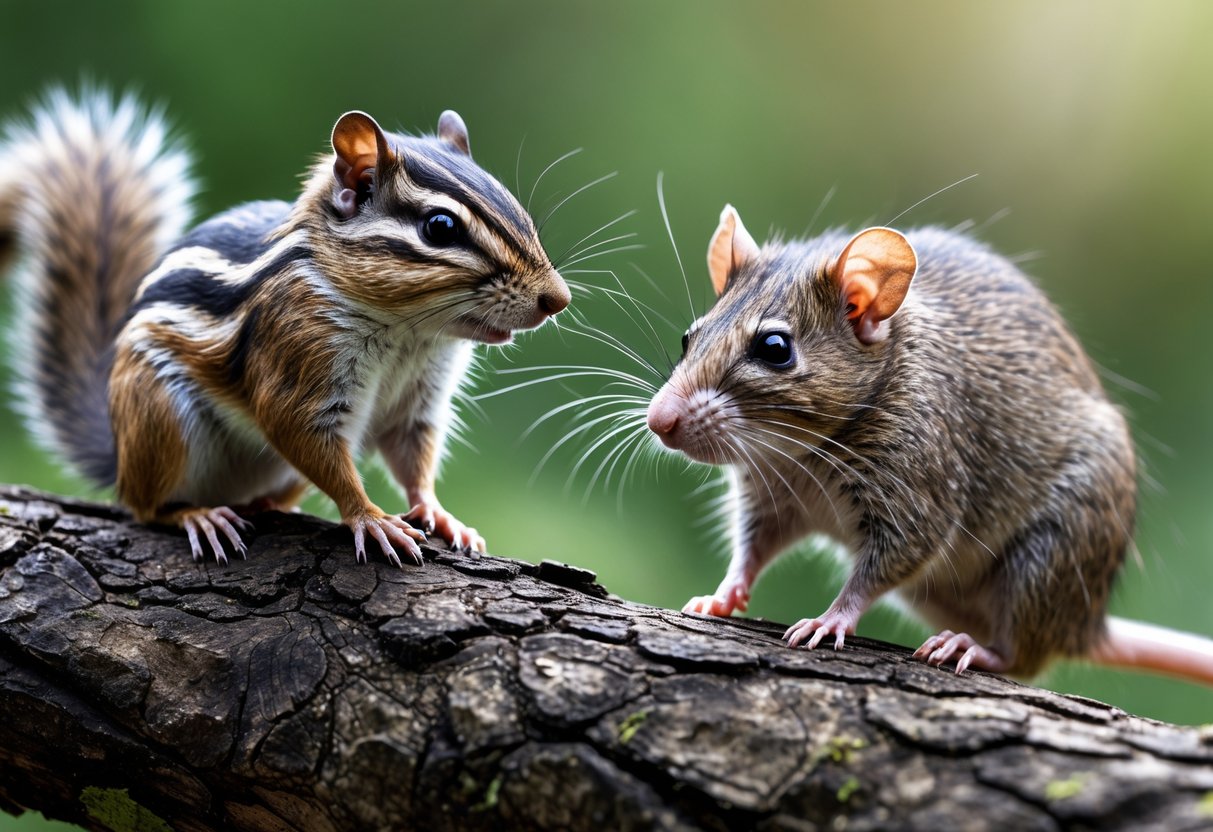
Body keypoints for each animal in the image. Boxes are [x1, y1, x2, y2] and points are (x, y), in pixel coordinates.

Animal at [0, 89, 570, 566]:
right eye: (440, 227)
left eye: (519, 210)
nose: (557, 300)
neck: (408, 333)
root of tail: (118, 455)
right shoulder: (298, 363)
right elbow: (308, 441)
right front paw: (371, 519)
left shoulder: (419, 403)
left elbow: (415, 462)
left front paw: (440, 514)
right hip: (159, 418)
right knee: (145, 506)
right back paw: (198, 515)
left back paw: (268, 506)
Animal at [646, 204, 1213, 683]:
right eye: (689, 336)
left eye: (774, 347)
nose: (658, 420)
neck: (809, 453)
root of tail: (1089, 626)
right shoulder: (771, 496)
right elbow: (751, 549)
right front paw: (720, 596)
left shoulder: (917, 494)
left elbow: (876, 571)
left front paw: (831, 619)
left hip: (1048, 557)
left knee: (1021, 657)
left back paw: (972, 648)